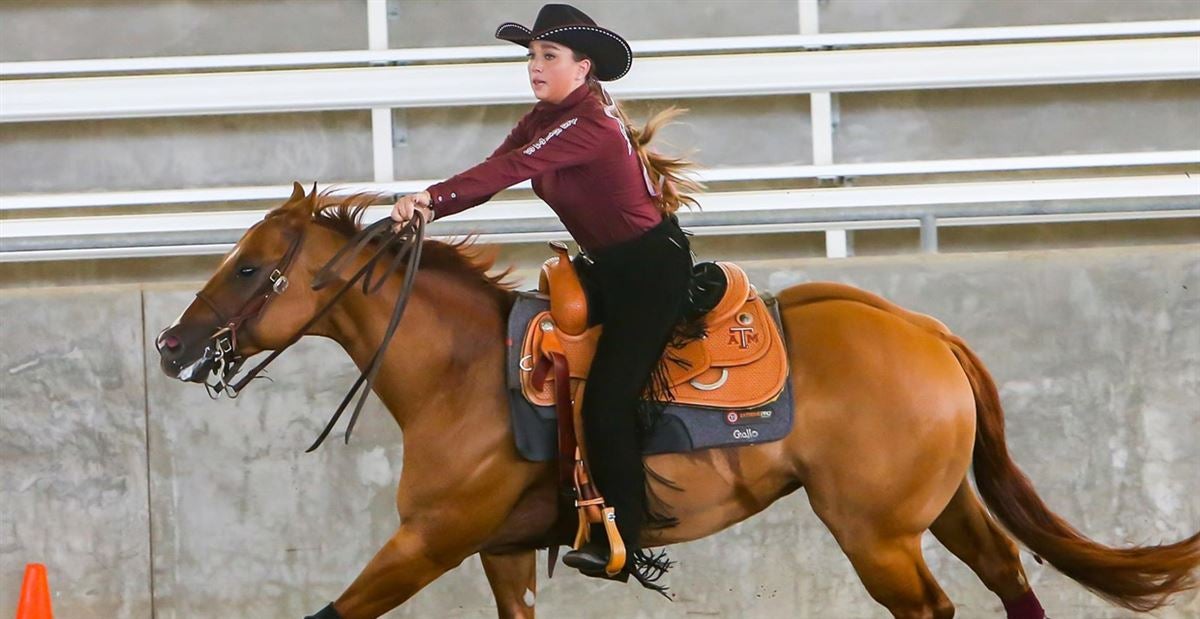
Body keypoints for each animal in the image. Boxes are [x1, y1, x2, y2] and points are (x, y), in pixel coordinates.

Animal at [159, 184, 1200, 619]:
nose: (171, 346)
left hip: (877, 534)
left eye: (248, 266)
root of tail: (925, 329)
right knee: (1007, 574)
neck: (462, 373)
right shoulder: (499, 550)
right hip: (937, 507)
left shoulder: (429, 540)